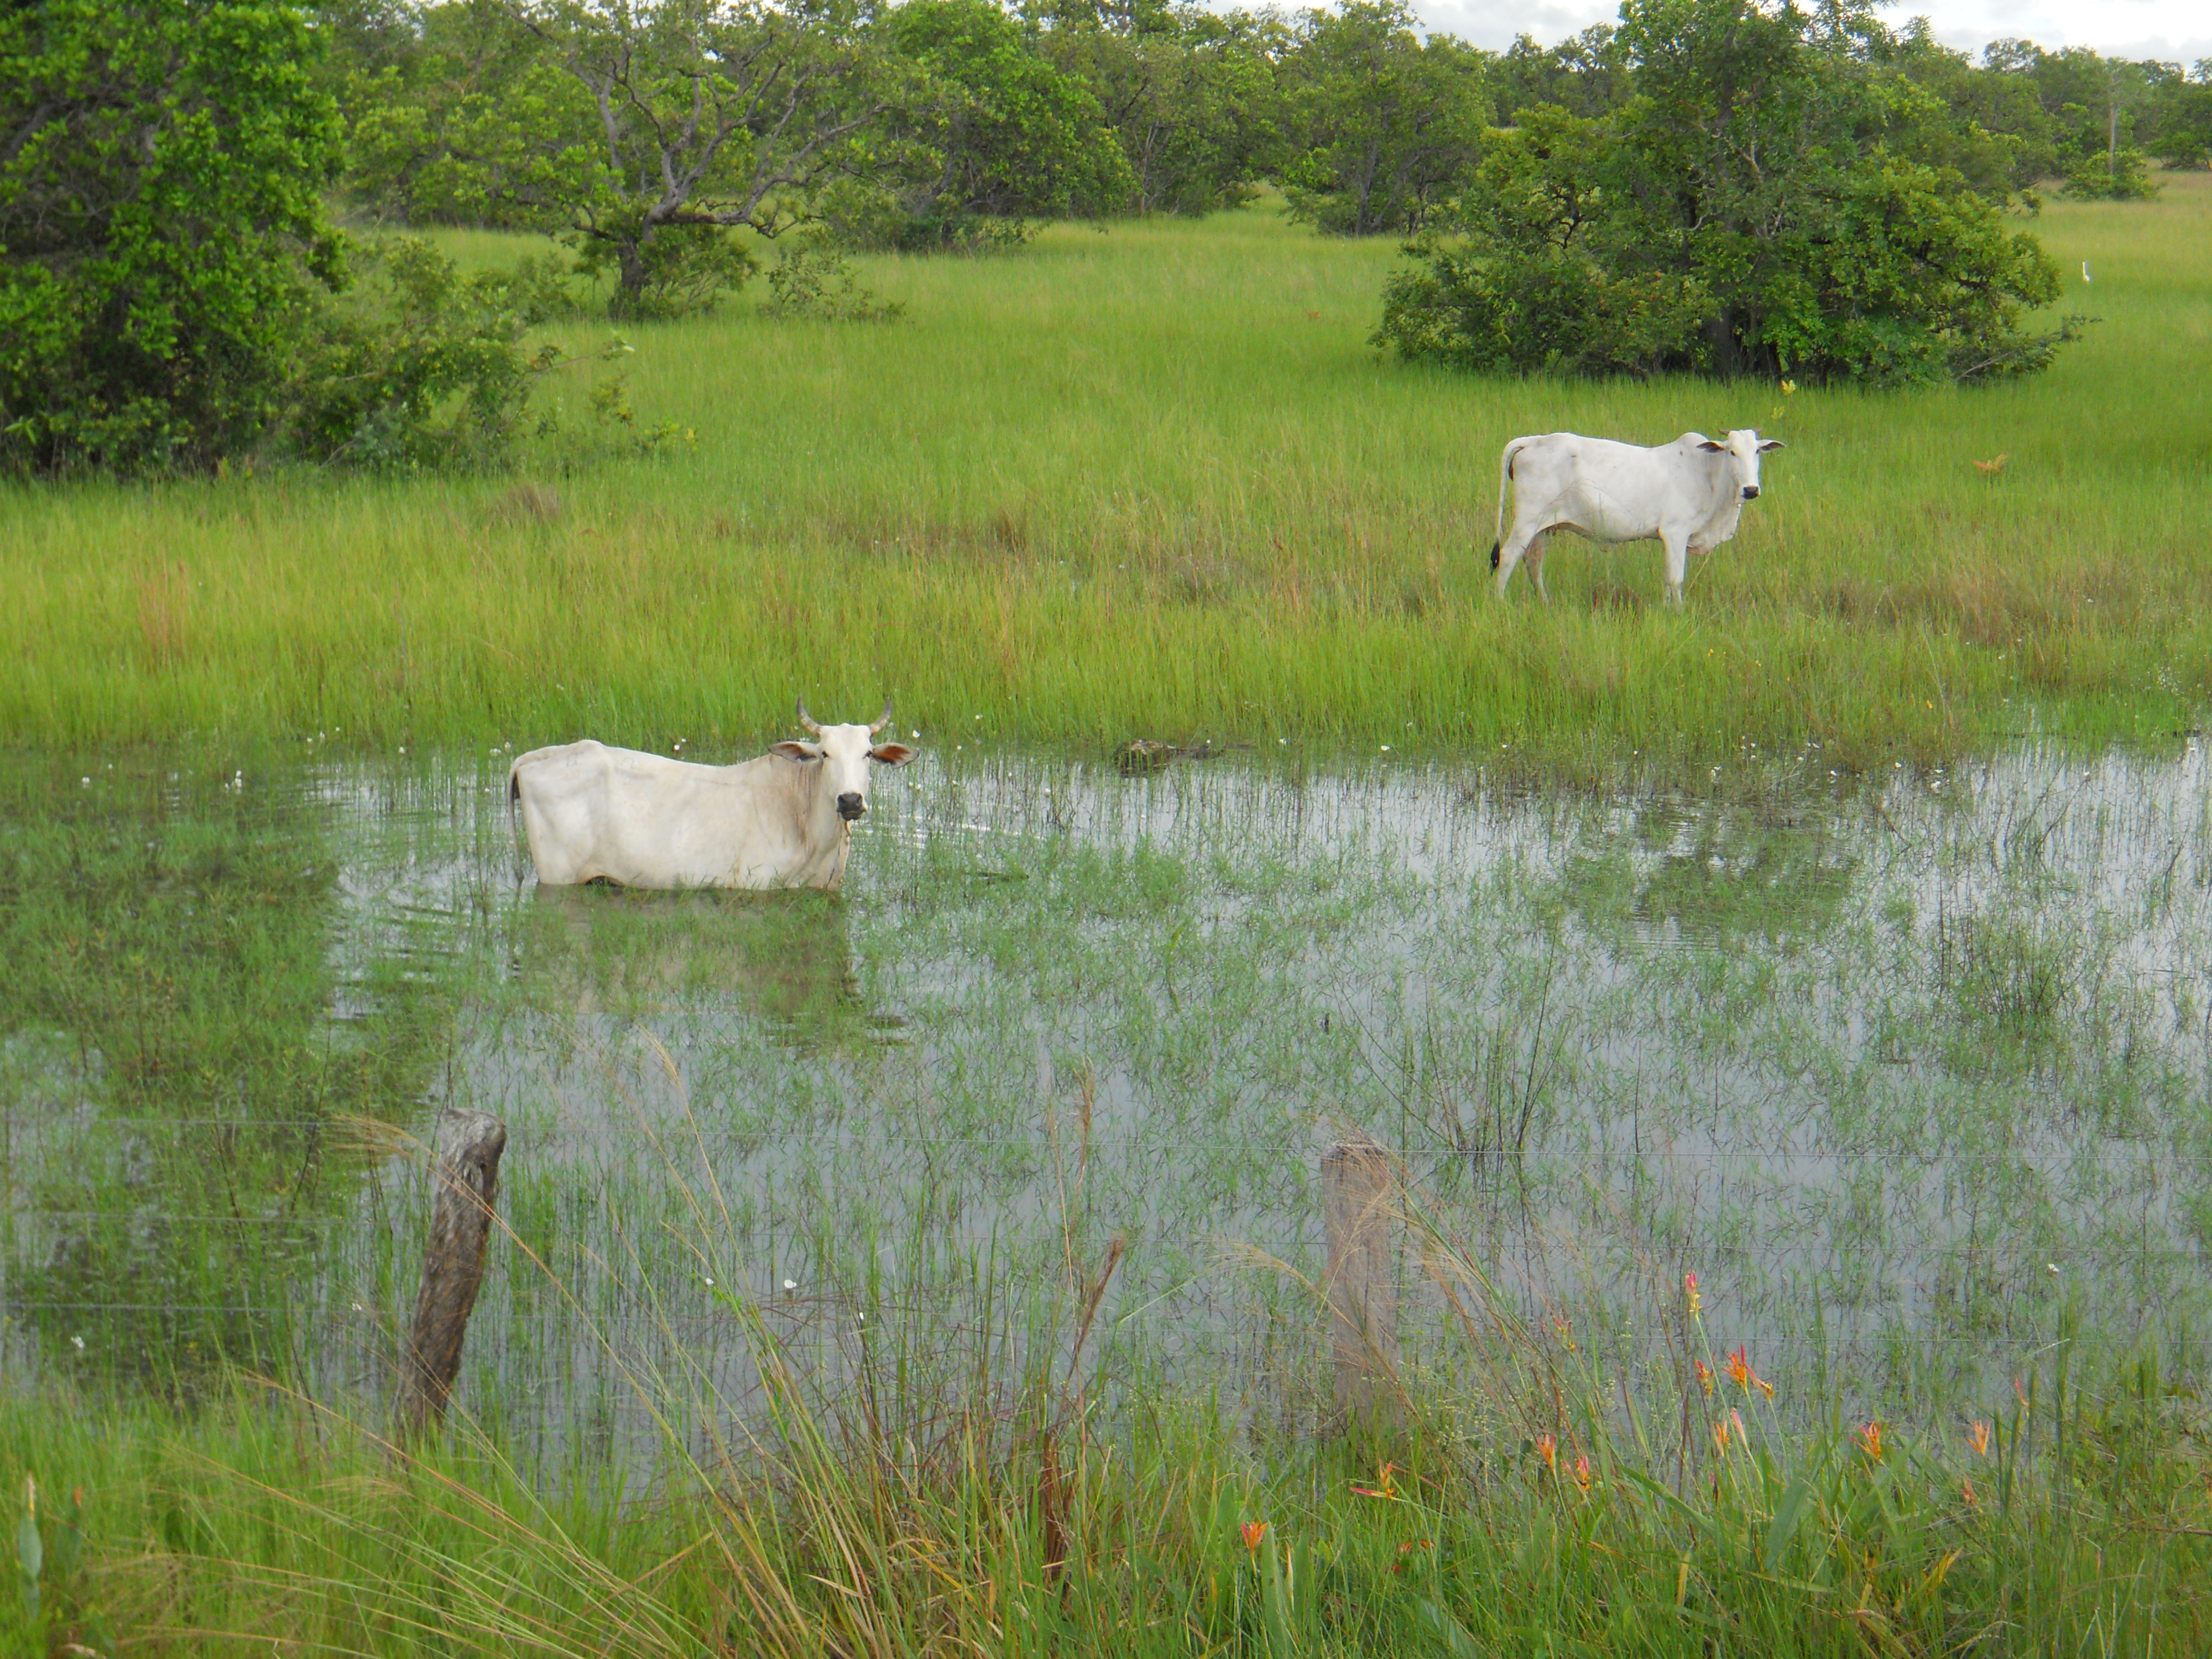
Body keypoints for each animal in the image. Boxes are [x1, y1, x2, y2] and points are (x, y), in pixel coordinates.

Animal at [508, 699, 916, 891]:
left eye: (868, 754)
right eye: (825, 754)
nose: (850, 801)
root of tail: (540, 756)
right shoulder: (755, 885)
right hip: (559, 876)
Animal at [1488, 429, 1785, 607]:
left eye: (1756, 451)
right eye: (1732, 452)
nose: (1751, 489)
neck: (1708, 474)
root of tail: (1533, 440)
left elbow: (1667, 579)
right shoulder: (1675, 533)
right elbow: (1676, 579)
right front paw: (1679, 613)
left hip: (1544, 527)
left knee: (1533, 563)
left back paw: (1545, 603)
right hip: (1527, 521)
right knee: (1508, 556)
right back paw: (1500, 604)